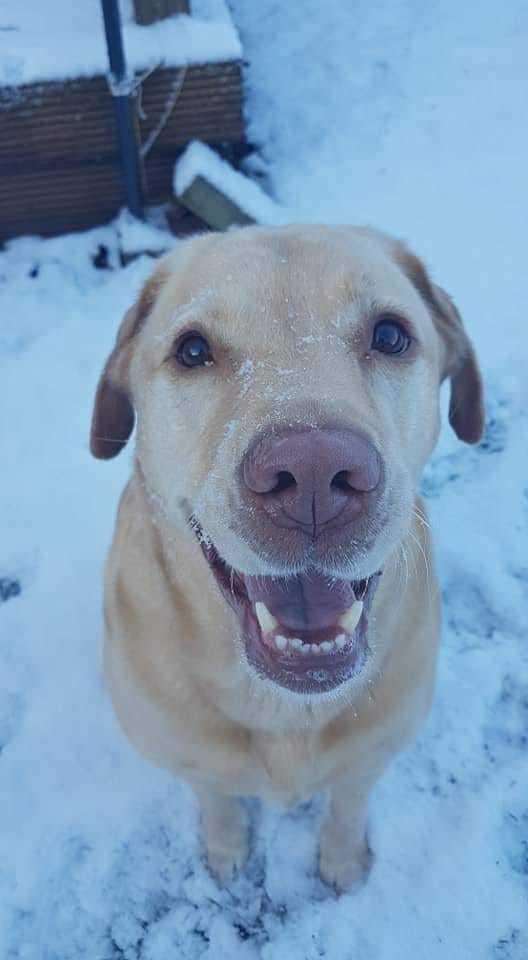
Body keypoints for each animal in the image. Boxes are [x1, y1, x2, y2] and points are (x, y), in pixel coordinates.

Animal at [89, 227, 482, 892]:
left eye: (390, 335)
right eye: (192, 350)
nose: (315, 474)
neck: (281, 711)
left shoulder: (374, 751)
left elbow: (349, 801)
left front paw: (343, 862)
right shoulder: (186, 753)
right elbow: (216, 795)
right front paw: (226, 849)